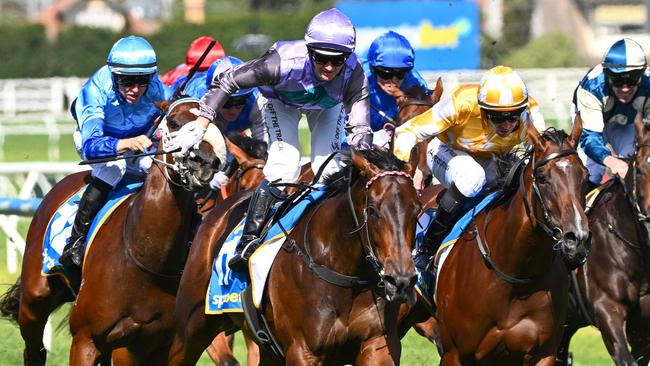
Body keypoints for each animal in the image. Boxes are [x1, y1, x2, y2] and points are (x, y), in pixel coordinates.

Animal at [0, 98, 220, 366]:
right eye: (174, 121)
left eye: (212, 123)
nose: (205, 162)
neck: (148, 255)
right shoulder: (86, 338)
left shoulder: (156, 344)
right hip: (34, 301)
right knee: (34, 349)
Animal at [167, 147, 420, 366]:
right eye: (373, 210)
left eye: (417, 210)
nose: (401, 280)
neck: (344, 274)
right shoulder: (303, 351)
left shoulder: (378, 345)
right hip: (191, 328)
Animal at [398, 116, 588, 364]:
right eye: (543, 178)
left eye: (585, 175)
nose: (577, 238)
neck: (516, 275)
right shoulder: (455, 352)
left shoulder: (543, 353)